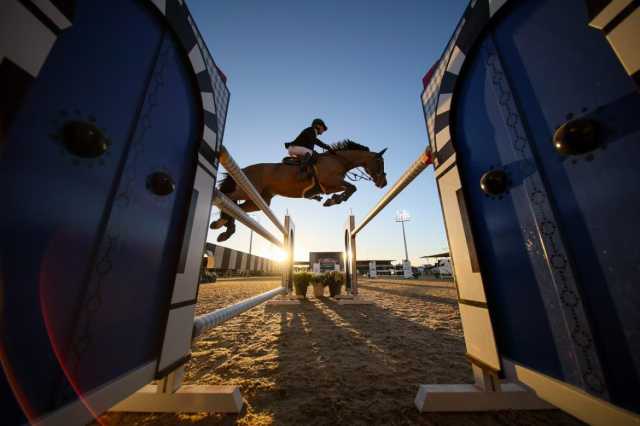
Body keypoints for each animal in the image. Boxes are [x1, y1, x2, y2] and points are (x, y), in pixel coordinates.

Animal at [212, 139, 388, 241]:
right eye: (380, 163)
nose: (383, 183)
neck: (338, 160)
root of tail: (244, 169)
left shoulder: (329, 186)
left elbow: (350, 189)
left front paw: (332, 200)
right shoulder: (330, 182)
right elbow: (352, 187)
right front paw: (335, 200)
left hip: (259, 201)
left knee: (237, 207)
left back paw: (225, 229)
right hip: (245, 190)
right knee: (228, 197)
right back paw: (221, 223)